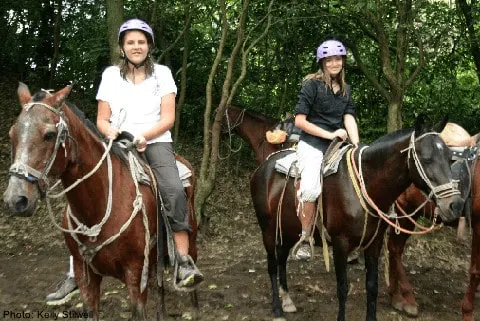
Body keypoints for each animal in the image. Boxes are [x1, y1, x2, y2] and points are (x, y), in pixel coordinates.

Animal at [1, 83, 197, 320]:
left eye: (49, 134)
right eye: (12, 133)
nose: (16, 199)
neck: (98, 205)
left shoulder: (135, 276)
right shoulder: (86, 275)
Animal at [251, 115, 464, 320]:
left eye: (450, 159)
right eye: (427, 159)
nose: (455, 205)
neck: (366, 184)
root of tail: (263, 167)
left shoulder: (374, 243)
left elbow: (372, 286)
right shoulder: (340, 244)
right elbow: (342, 289)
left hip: (287, 230)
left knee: (281, 258)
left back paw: (287, 300)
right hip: (268, 231)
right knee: (272, 265)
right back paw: (277, 308)